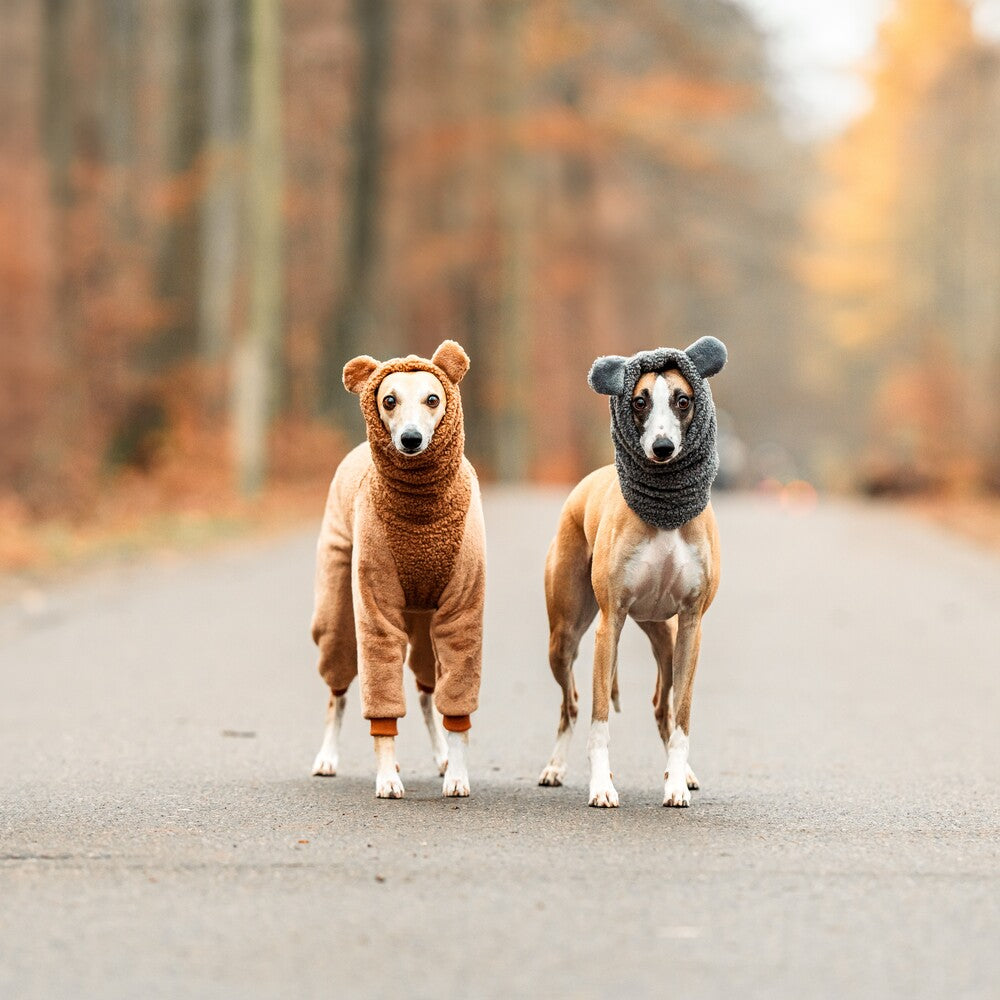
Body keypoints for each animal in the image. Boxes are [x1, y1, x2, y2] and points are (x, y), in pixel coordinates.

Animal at [310, 340, 486, 800]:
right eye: (388, 400)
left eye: (433, 399)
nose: (410, 439)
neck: (421, 514)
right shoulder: (376, 611)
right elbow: (380, 701)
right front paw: (388, 776)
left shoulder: (462, 614)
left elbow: (456, 706)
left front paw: (458, 773)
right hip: (338, 614)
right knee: (337, 693)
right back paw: (326, 757)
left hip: (424, 630)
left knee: (427, 693)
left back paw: (441, 757)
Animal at [540, 340, 728, 808]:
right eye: (639, 402)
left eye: (683, 400)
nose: (662, 447)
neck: (663, 515)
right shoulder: (610, 624)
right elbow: (599, 720)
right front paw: (602, 786)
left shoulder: (691, 626)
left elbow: (682, 716)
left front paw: (676, 784)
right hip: (566, 638)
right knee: (571, 704)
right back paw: (555, 767)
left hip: (664, 635)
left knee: (662, 705)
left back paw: (682, 774)